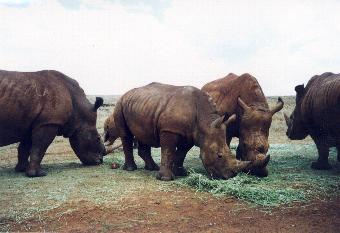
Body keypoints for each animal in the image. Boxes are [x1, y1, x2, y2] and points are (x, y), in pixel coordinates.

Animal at [114, 83, 268, 181]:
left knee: (144, 135)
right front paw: (166, 178)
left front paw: (182, 173)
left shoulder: (190, 135)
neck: (205, 122)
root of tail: (126, 93)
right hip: (120, 104)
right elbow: (168, 151)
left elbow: (181, 153)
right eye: (219, 155)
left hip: (142, 106)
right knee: (126, 135)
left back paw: (152, 168)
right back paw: (131, 169)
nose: (230, 176)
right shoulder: (169, 130)